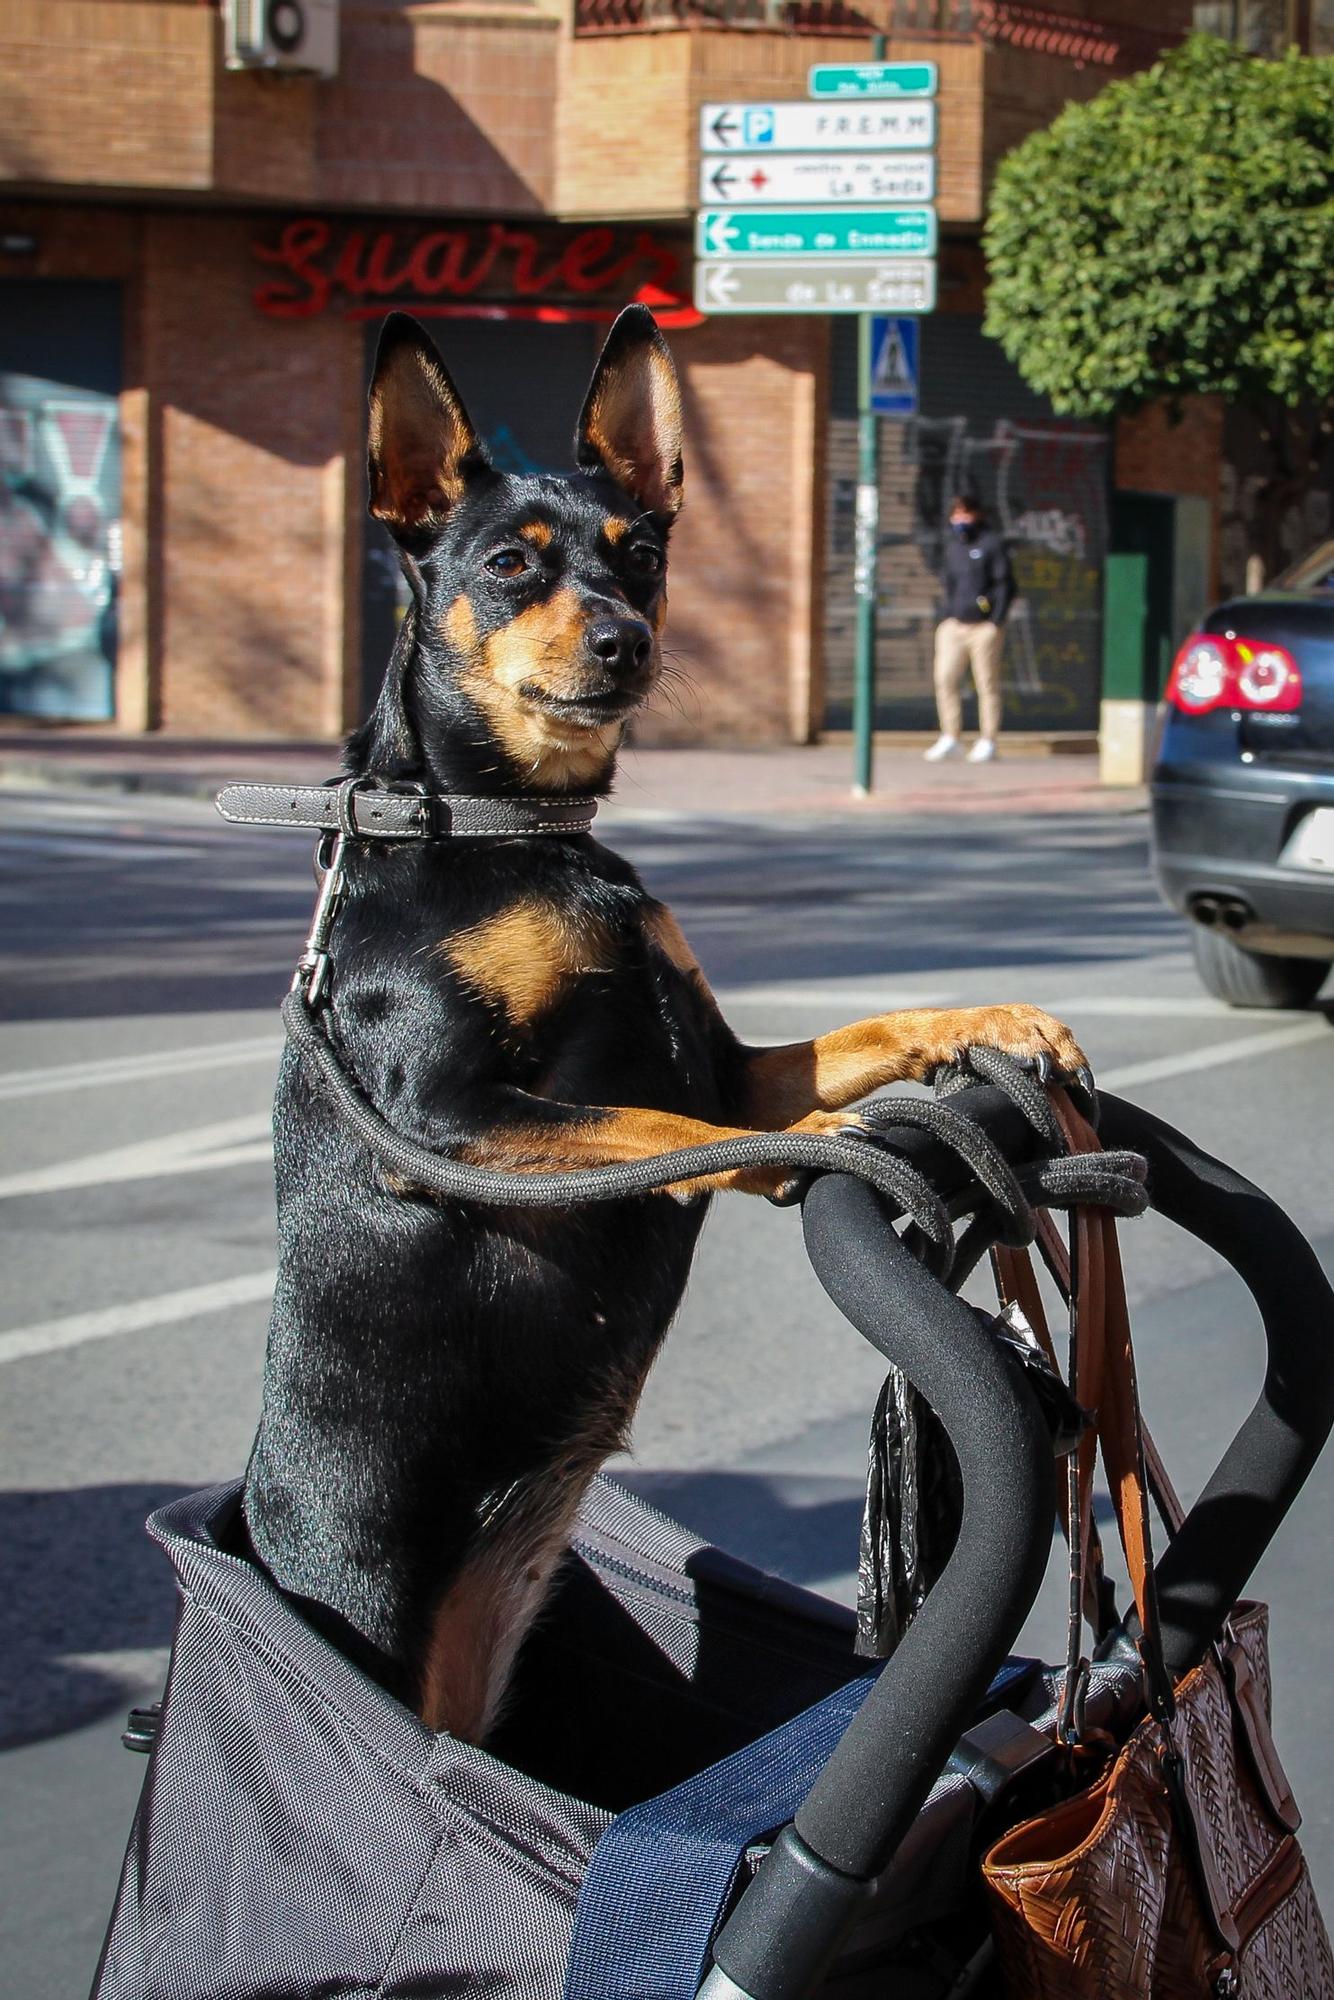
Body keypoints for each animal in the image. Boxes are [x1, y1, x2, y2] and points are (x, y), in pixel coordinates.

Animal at [245, 308, 1088, 1752]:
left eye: (639, 554)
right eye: (512, 565)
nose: (625, 641)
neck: (510, 836)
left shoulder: (726, 1060)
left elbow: (856, 1032)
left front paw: (993, 1018)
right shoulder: (444, 1120)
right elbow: (666, 1131)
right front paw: (831, 1149)